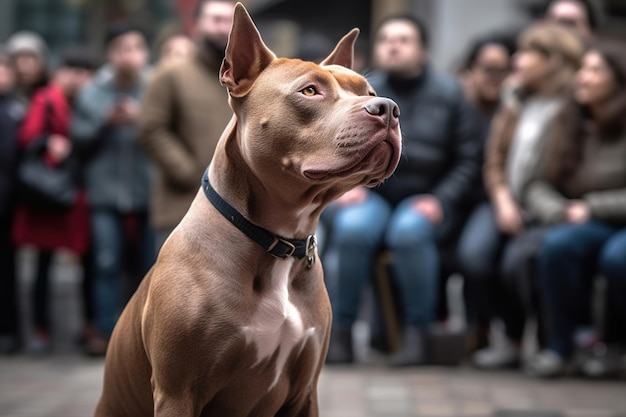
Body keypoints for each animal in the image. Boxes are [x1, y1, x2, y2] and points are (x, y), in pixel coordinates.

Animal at [96, 4, 400, 416]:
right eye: (310, 91)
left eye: (368, 92)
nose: (388, 108)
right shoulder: (177, 392)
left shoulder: (304, 392)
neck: (279, 242)